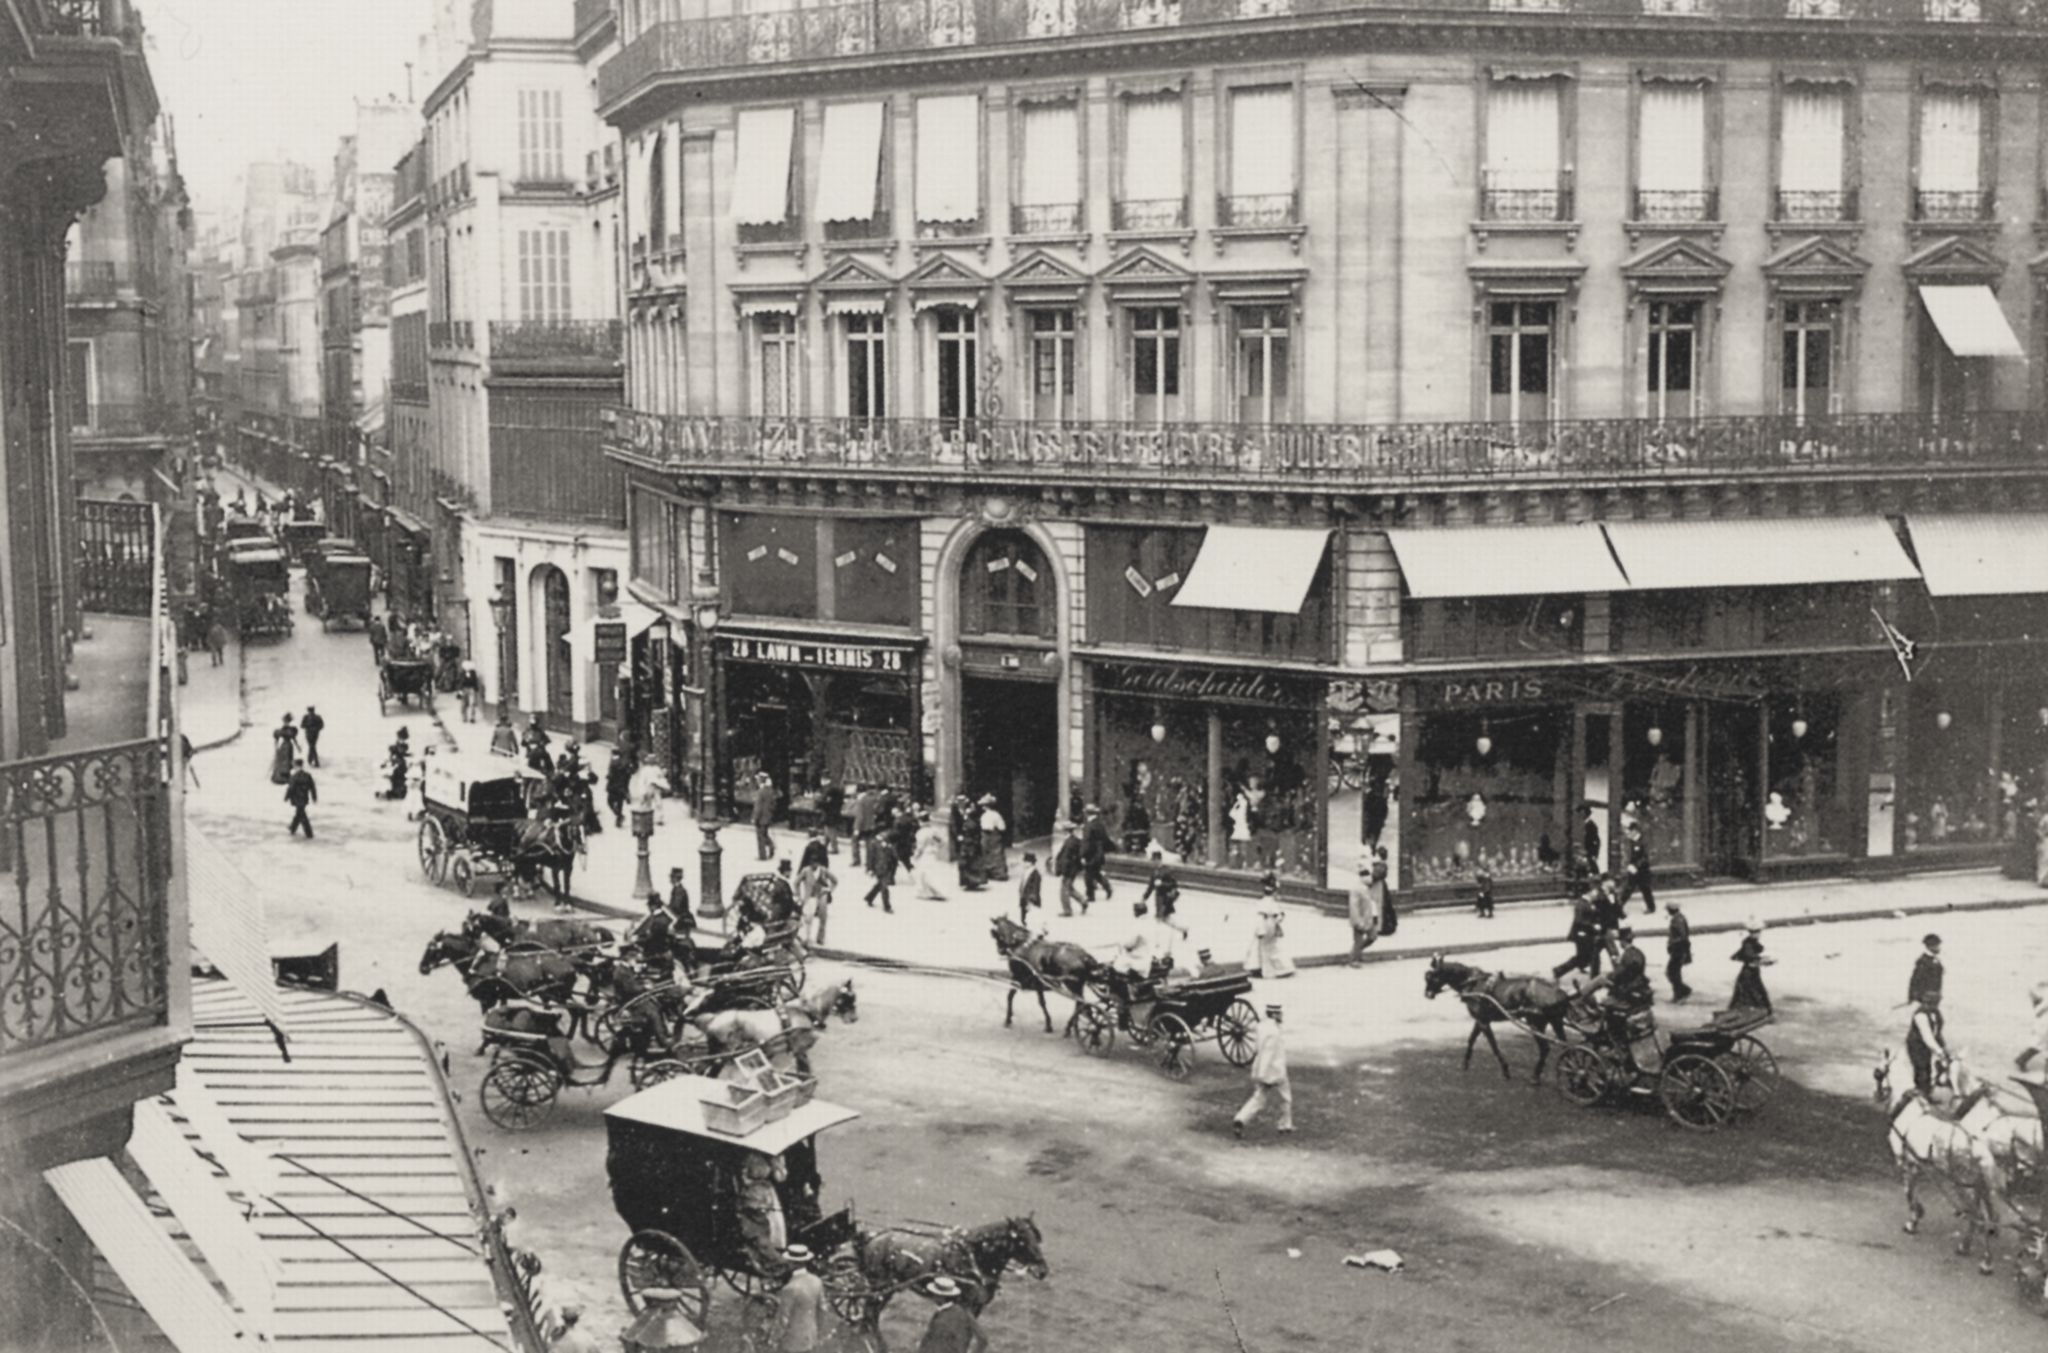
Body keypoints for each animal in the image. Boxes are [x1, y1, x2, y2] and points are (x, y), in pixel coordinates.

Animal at [853, 1214, 1048, 1318]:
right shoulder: (966, 1306)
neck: (974, 1257)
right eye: (1021, 1240)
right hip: (879, 1289)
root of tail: (874, 1237)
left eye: (1036, 1237)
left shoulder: (977, 1308)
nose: (1043, 1271)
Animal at [1423, 954, 1575, 1083]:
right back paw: (1571, 1075)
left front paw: (1505, 1069)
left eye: (1430, 977)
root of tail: (1560, 993)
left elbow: (1493, 1045)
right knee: (1566, 1047)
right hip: (1555, 1023)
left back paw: (1536, 1076)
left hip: (1535, 1024)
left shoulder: (1483, 1022)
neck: (1473, 984)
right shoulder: (1481, 1020)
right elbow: (1471, 1039)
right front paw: (1465, 1063)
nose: (1427, 994)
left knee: (1545, 1048)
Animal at [1874, 1049, 2003, 1274]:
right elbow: (1912, 1192)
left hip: (1964, 1187)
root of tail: (1978, 1148)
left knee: (1978, 1216)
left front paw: (1913, 1221)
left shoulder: (1905, 1163)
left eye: (1878, 1072)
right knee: (1988, 1216)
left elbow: (1909, 1193)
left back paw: (1979, 1257)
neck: (1907, 1108)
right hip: (1982, 1187)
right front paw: (1918, 1214)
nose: (1877, 1095)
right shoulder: (1917, 1165)